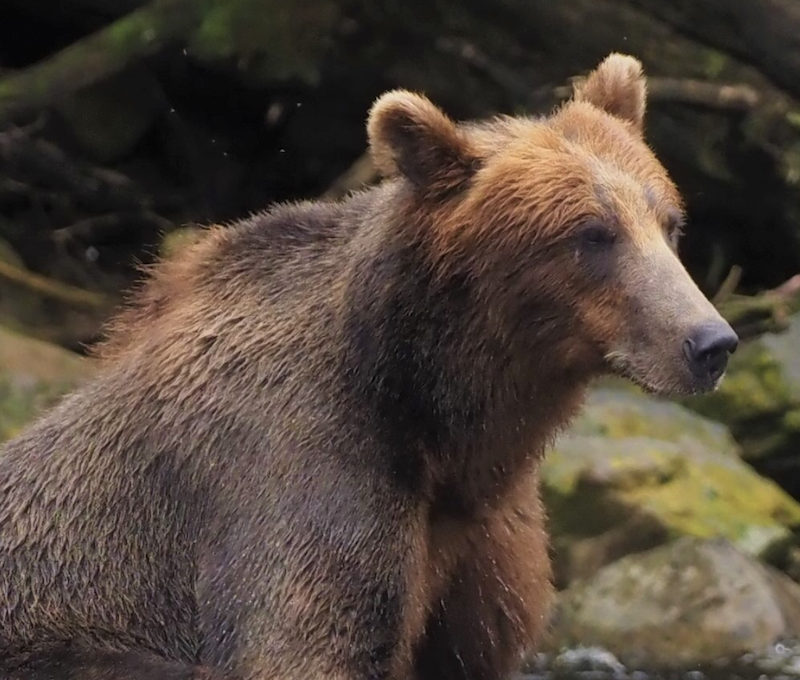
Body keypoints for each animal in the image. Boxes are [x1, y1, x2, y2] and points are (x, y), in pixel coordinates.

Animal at [0, 53, 737, 680]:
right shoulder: (304, 479)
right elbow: (305, 639)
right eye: (593, 234)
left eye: (669, 222)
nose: (711, 342)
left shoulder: (481, 547)